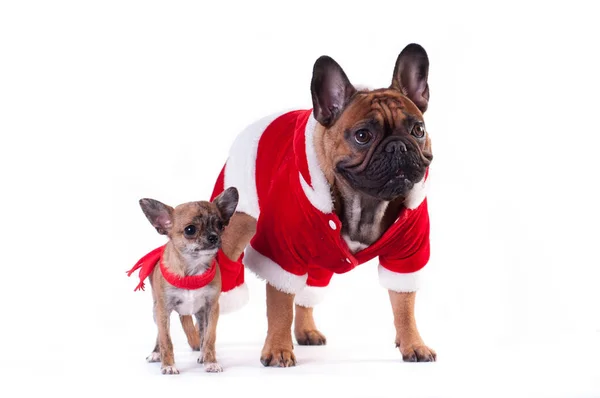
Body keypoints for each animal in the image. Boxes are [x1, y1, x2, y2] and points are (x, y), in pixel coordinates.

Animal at [128, 187, 239, 374]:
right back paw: (156, 353)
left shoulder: (211, 308)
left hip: (199, 314)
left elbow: (209, 337)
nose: (214, 236)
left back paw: (202, 355)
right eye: (190, 230)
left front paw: (210, 361)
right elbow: (166, 340)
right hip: (156, 310)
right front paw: (168, 365)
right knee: (159, 334)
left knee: (202, 333)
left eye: (220, 225)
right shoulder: (163, 310)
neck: (193, 270)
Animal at [209, 43, 434, 366]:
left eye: (418, 130)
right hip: (235, 229)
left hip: (319, 262)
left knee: (308, 293)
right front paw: (278, 349)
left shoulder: (406, 257)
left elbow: (405, 306)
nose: (399, 145)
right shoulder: (282, 255)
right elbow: (279, 306)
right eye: (362, 136)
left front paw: (413, 344)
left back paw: (306, 331)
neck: (366, 201)